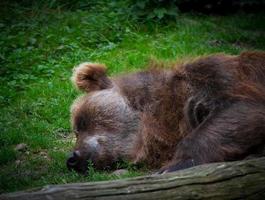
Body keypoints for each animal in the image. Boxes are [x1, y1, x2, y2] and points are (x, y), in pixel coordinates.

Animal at [66, 51, 264, 173]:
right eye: (76, 130)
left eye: (80, 124)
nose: (72, 158)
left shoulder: (223, 78)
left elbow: (242, 108)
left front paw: (173, 166)